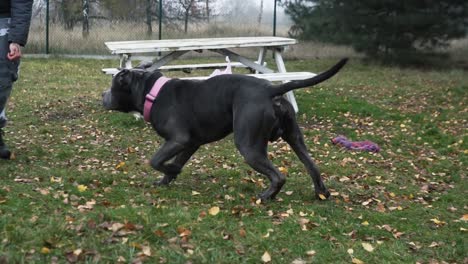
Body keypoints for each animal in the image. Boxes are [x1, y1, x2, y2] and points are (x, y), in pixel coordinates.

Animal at [104, 58, 350, 201]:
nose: (102, 96)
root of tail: (271, 89)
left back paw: (266, 196)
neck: (151, 92)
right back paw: (321, 193)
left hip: (248, 145)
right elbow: (173, 163)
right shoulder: (190, 143)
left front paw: (171, 171)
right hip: (295, 138)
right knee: (312, 165)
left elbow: (155, 160)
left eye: (113, 85)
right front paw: (167, 178)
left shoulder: (178, 140)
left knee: (278, 176)